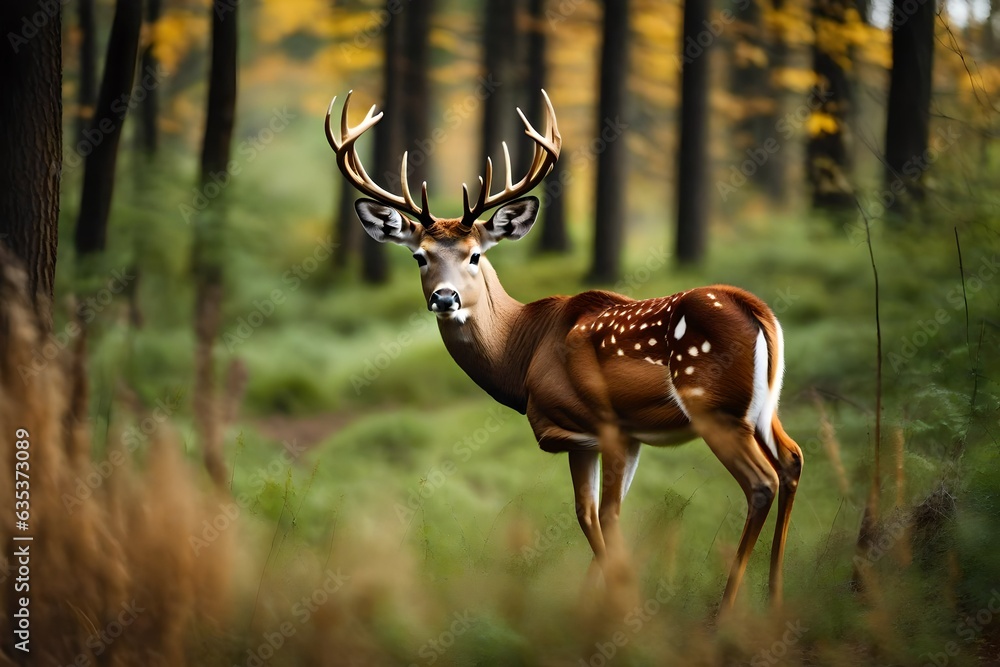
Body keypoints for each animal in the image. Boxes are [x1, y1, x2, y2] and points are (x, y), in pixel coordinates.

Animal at [326, 90, 803, 613]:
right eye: (419, 256)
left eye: (475, 254)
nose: (445, 298)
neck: (522, 353)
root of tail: (756, 310)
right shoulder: (622, 439)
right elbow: (598, 516)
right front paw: (598, 605)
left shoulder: (593, 427)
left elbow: (597, 517)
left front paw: (624, 609)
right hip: (764, 409)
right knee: (793, 460)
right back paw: (777, 600)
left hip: (713, 405)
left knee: (761, 482)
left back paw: (726, 612)